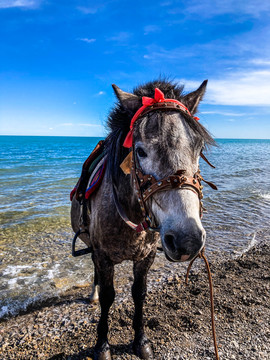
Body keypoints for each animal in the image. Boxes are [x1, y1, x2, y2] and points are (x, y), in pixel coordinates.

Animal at [70, 79, 216, 360]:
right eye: (140, 151)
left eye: (199, 149)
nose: (188, 239)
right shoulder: (103, 255)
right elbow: (108, 296)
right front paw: (102, 345)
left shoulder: (146, 256)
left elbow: (139, 294)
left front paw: (141, 341)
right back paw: (93, 294)